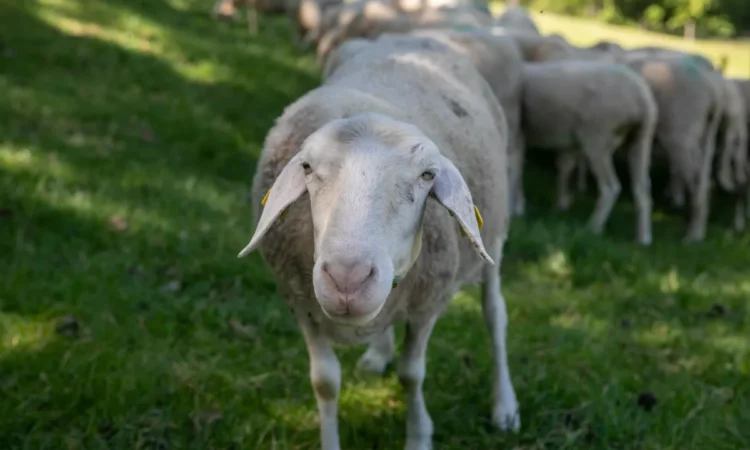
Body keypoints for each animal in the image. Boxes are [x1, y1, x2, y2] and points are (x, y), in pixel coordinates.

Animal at [237, 33, 520, 450]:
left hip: (495, 239)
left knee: (495, 315)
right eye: (307, 167)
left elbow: (411, 374)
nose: (347, 279)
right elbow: (324, 382)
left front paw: (418, 435)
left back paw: (505, 405)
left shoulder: (427, 303)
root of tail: (418, 36)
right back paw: (377, 353)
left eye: (427, 175)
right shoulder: (299, 301)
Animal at [520, 60, 657, 245]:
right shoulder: (568, 141)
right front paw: (561, 205)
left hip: (597, 136)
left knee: (610, 187)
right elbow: (565, 168)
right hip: (641, 138)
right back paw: (643, 238)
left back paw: (593, 228)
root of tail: (641, 97)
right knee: (642, 188)